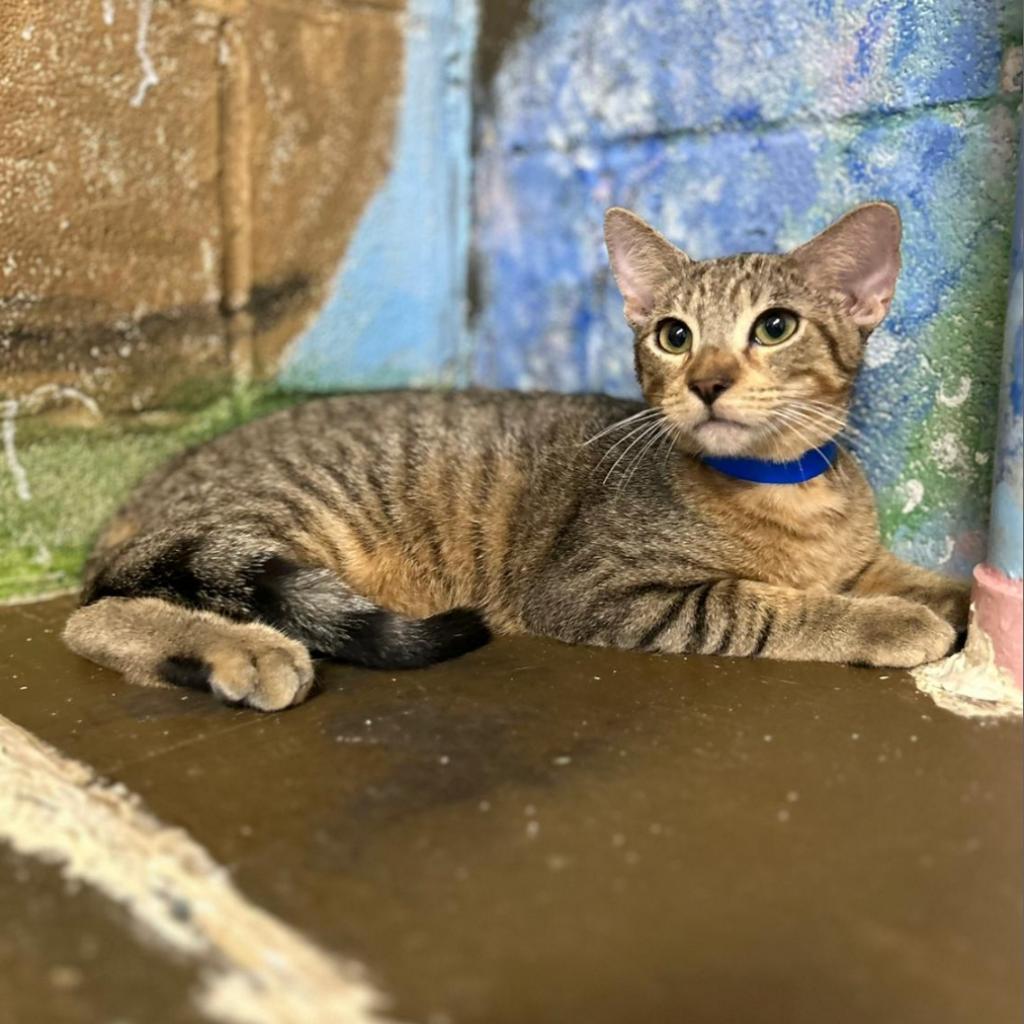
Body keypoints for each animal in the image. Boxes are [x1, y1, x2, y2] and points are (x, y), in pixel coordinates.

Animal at [61, 202, 966, 708]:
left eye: (774, 327)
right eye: (673, 336)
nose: (707, 382)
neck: (789, 490)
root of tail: (146, 490)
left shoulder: (856, 556)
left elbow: (898, 574)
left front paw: (954, 602)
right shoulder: (598, 591)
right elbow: (764, 605)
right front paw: (888, 621)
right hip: (277, 522)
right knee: (92, 615)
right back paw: (244, 651)